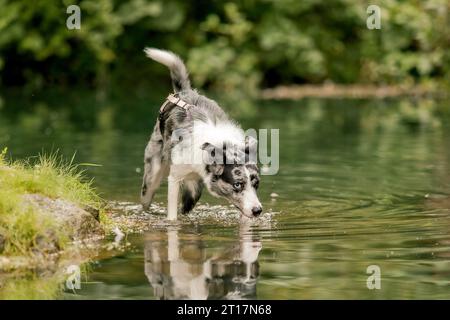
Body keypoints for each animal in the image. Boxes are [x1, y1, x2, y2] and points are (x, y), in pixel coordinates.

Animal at [140, 48, 260, 221]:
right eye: (237, 184)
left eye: (256, 184)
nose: (258, 210)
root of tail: (183, 91)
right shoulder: (174, 178)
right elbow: (172, 215)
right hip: (152, 177)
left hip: (194, 189)